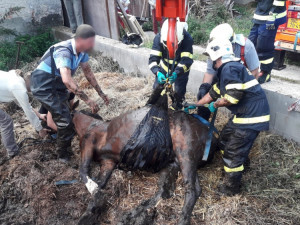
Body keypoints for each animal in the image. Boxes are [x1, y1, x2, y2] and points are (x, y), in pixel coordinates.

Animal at [72, 88, 216, 225]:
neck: (91, 125)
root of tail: (213, 138)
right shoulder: (108, 162)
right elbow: (100, 182)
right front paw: (90, 211)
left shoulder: (88, 143)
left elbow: (83, 170)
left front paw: (93, 196)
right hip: (174, 163)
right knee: (166, 191)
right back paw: (133, 214)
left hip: (186, 153)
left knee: (191, 190)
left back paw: (182, 220)